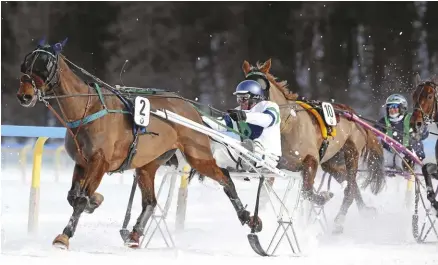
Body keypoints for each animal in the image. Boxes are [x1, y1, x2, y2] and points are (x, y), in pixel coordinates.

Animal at [15, 38, 262, 248]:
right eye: (25, 64)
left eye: (45, 65)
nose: (24, 95)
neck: (88, 110)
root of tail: (192, 110)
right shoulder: (82, 162)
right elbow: (73, 196)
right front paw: (95, 200)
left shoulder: (99, 162)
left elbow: (79, 200)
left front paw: (64, 236)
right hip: (147, 165)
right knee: (150, 202)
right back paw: (134, 235)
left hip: (197, 155)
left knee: (225, 178)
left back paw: (248, 218)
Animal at [241, 59, 384, 231]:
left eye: (260, 86)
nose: (245, 111)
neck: (288, 126)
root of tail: (353, 114)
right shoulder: (271, 167)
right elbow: (263, 194)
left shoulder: (311, 161)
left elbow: (307, 191)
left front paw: (323, 197)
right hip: (331, 161)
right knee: (351, 183)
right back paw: (364, 210)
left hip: (351, 153)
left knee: (350, 187)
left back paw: (339, 220)